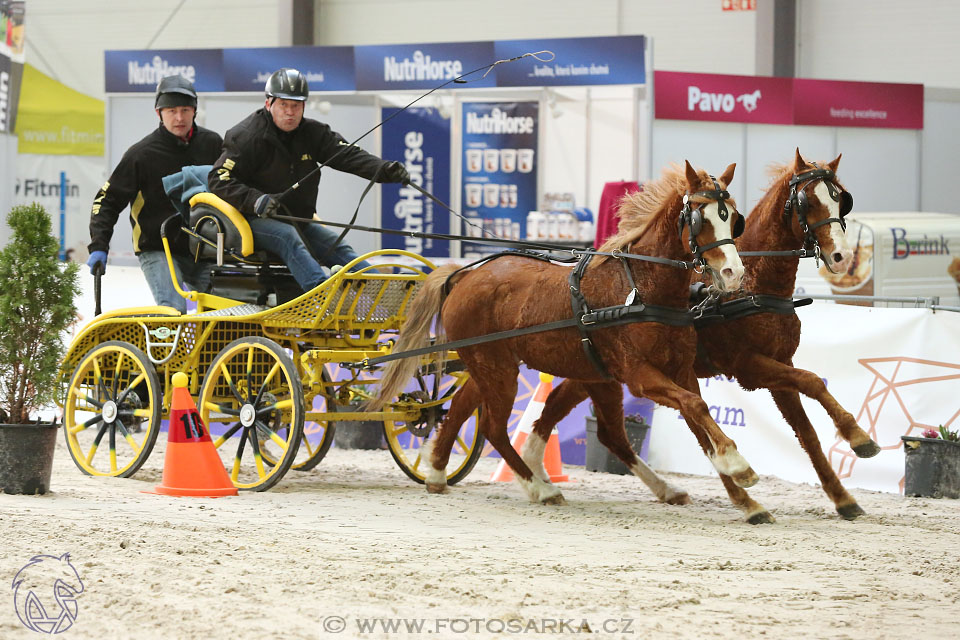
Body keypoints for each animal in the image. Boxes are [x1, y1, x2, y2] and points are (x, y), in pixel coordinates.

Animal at [376, 161, 752, 504]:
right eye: (700, 219)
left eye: (734, 218)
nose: (733, 273)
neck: (639, 288)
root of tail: (463, 276)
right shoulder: (638, 375)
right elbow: (695, 407)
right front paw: (739, 465)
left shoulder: (679, 370)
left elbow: (697, 414)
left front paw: (740, 489)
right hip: (498, 368)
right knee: (494, 429)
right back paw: (539, 488)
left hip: (494, 365)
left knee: (461, 405)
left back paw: (438, 473)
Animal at [532, 151, 876, 524]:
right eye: (807, 201)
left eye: (840, 200)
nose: (841, 257)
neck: (755, 287)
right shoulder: (749, 367)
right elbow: (812, 380)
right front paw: (858, 437)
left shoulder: (780, 365)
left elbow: (807, 431)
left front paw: (843, 496)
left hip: (596, 373)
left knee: (570, 415)